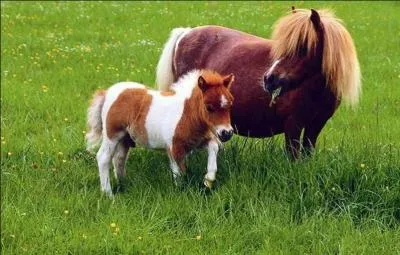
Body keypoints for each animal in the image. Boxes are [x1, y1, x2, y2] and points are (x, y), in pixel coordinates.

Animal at [85, 68, 234, 196]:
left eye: (230, 105)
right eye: (209, 107)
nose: (227, 133)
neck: (185, 114)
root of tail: (107, 93)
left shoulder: (197, 142)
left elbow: (213, 147)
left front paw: (208, 180)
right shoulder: (175, 148)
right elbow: (180, 173)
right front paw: (181, 193)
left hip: (125, 138)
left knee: (119, 159)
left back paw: (123, 184)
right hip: (112, 135)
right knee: (103, 158)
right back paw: (108, 194)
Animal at [155, 8, 360, 159]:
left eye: (303, 48)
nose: (269, 78)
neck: (314, 89)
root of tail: (185, 33)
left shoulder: (315, 125)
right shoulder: (293, 125)